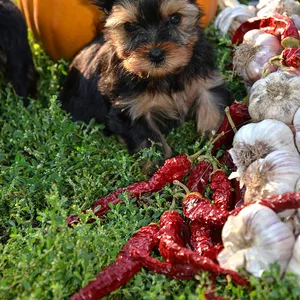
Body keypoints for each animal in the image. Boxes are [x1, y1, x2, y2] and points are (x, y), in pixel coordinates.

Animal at [61, 0, 232, 158]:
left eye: (175, 18)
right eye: (129, 26)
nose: (156, 55)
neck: (164, 75)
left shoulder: (206, 84)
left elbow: (213, 114)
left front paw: (214, 148)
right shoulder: (130, 110)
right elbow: (150, 143)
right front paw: (159, 166)